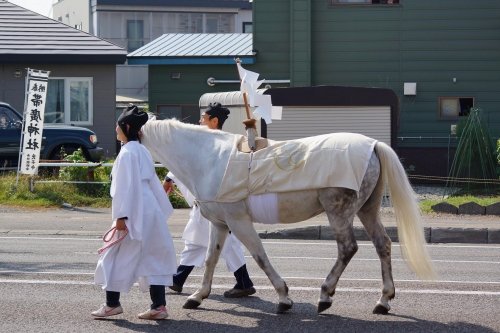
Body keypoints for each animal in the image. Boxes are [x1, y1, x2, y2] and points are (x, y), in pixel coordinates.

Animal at [141, 118, 434, 314]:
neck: (211, 159)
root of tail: (373, 145)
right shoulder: (220, 223)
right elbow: (211, 259)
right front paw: (197, 296)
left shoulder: (239, 221)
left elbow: (260, 256)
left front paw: (284, 297)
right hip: (367, 210)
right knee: (383, 245)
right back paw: (383, 300)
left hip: (338, 212)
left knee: (348, 248)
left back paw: (325, 295)